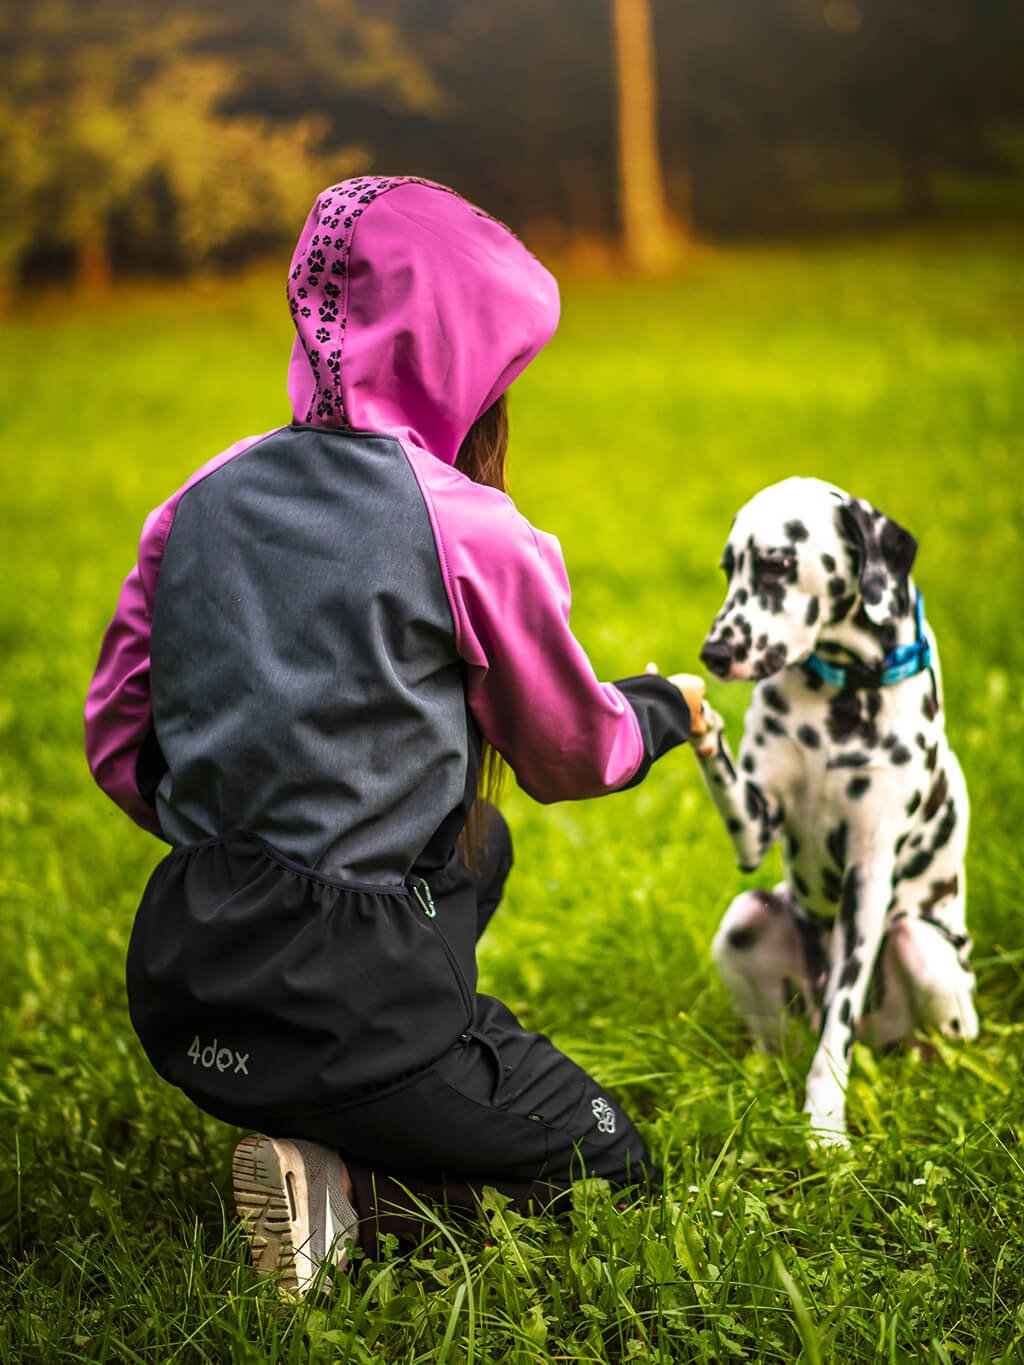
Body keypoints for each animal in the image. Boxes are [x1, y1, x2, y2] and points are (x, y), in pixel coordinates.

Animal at [699, 477, 977, 1141]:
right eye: (728, 568)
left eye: (776, 563)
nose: (714, 652)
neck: (842, 696)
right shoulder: (754, 824)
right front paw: (697, 721)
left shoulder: (868, 876)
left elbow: (835, 1032)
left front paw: (826, 1125)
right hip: (746, 920)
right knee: (777, 1035)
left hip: (919, 946)